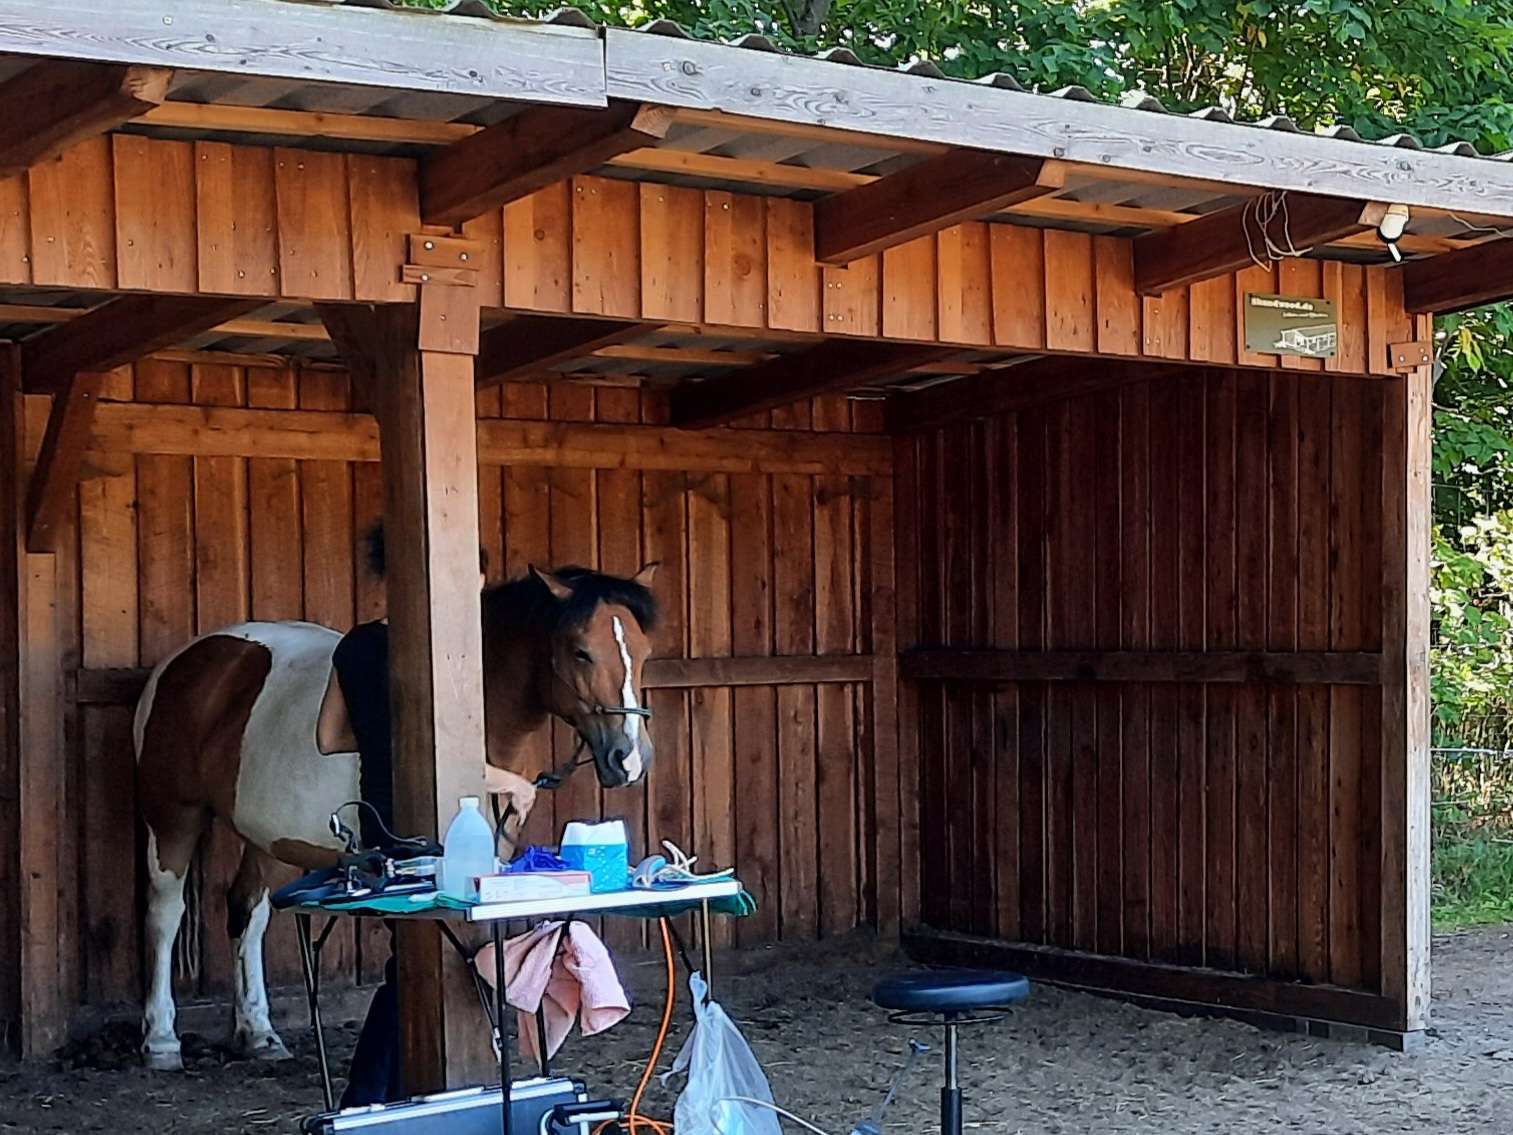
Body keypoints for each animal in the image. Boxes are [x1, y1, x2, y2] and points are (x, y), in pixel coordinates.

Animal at [132, 563, 658, 1071]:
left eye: (644, 651)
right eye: (581, 652)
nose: (629, 758)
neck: (472, 701)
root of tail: (187, 661)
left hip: (269, 839)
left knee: (248, 915)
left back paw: (258, 1033)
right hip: (173, 817)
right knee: (165, 915)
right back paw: (160, 1041)